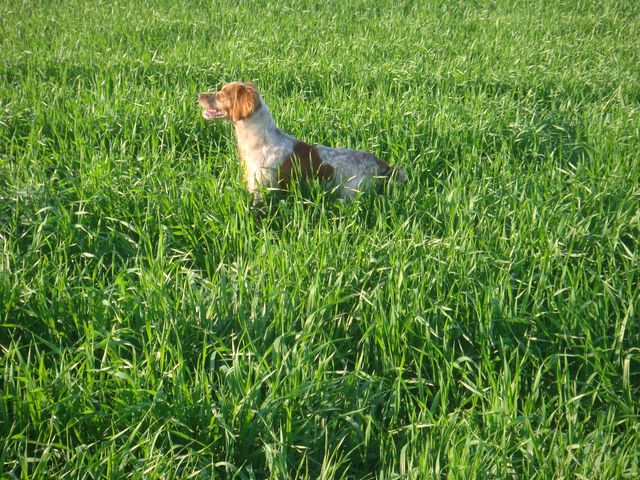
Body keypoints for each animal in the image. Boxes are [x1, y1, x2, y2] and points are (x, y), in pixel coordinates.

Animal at [198, 81, 408, 202]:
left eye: (222, 94)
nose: (199, 95)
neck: (261, 141)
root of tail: (383, 164)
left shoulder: (263, 190)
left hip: (350, 192)